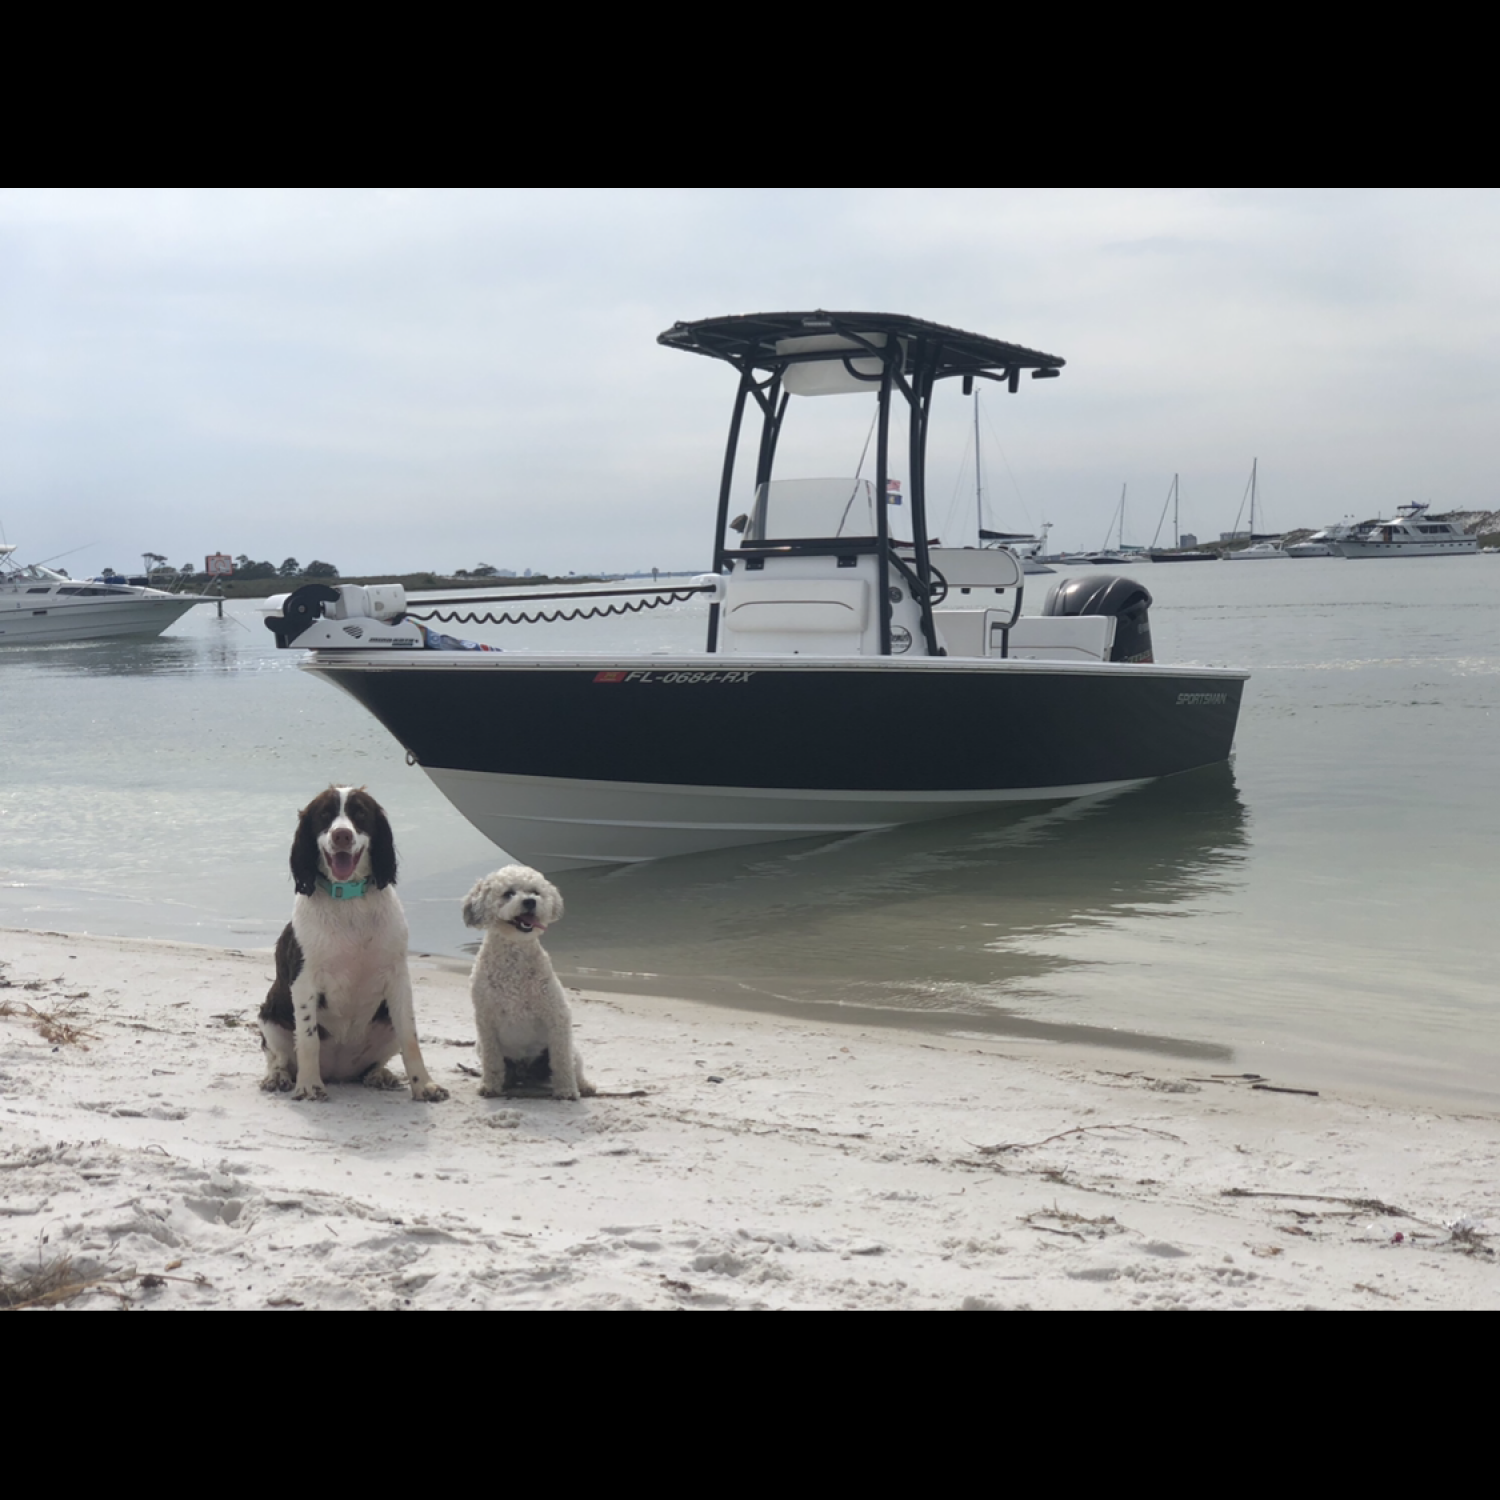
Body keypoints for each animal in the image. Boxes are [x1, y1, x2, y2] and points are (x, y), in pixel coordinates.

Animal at [261, 786, 447, 1104]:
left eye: (360, 813)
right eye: (324, 814)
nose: (342, 836)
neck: (349, 901)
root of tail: (338, 1072)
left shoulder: (398, 978)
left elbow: (410, 1038)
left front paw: (424, 1085)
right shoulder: (304, 981)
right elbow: (308, 1039)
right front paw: (309, 1087)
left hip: (384, 1025)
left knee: (374, 1062)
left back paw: (379, 1075)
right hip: (269, 1017)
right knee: (278, 1057)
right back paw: (279, 1078)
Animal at [462, 870, 591, 1104]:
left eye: (535, 892)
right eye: (508, 893)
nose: (530, 901)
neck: (515, 956)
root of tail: (525, 1073)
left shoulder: (557, 1016)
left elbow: (562, 1062)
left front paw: (567, 1091)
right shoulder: (486, 1021)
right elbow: (492, 1061)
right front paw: (489, 1087)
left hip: (571, 1048)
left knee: (574, 1066)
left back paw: (584, 1086)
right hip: (479, 1046)